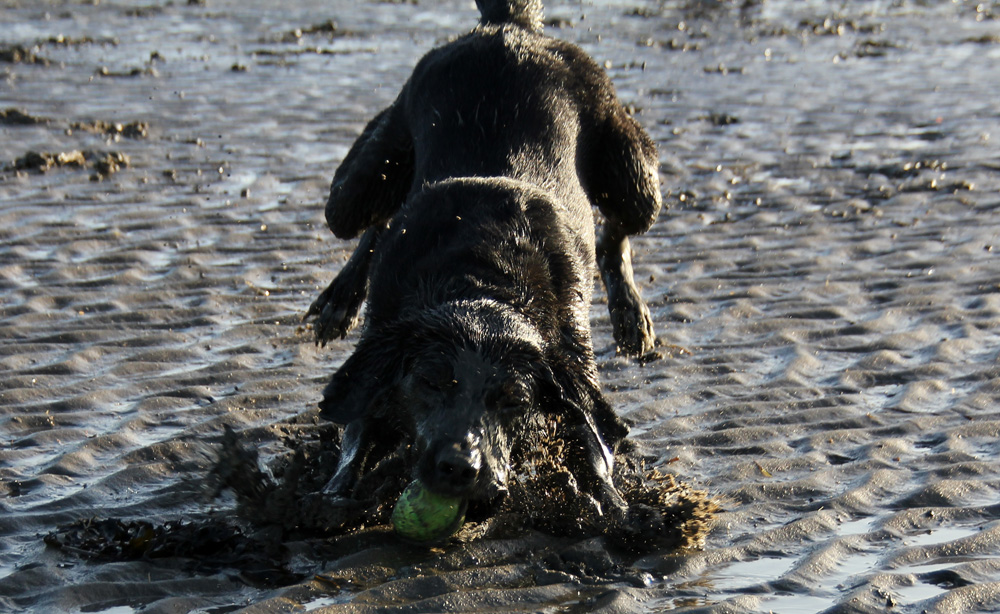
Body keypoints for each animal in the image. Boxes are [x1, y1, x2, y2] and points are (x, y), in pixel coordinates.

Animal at [304, 0, 664, 528]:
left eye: (514, 399)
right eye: (431, 382)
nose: (459, 467)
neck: (478, 279)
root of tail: (509, 28)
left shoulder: (570, 353)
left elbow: (592, 436)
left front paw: (611, 501)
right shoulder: (384, 345)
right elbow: (358, 431)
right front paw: (332, 495)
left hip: (633, 176)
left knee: (614, 233)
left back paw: (630, 315)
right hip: (357, 185)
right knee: (372, 220)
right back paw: (338, 300)